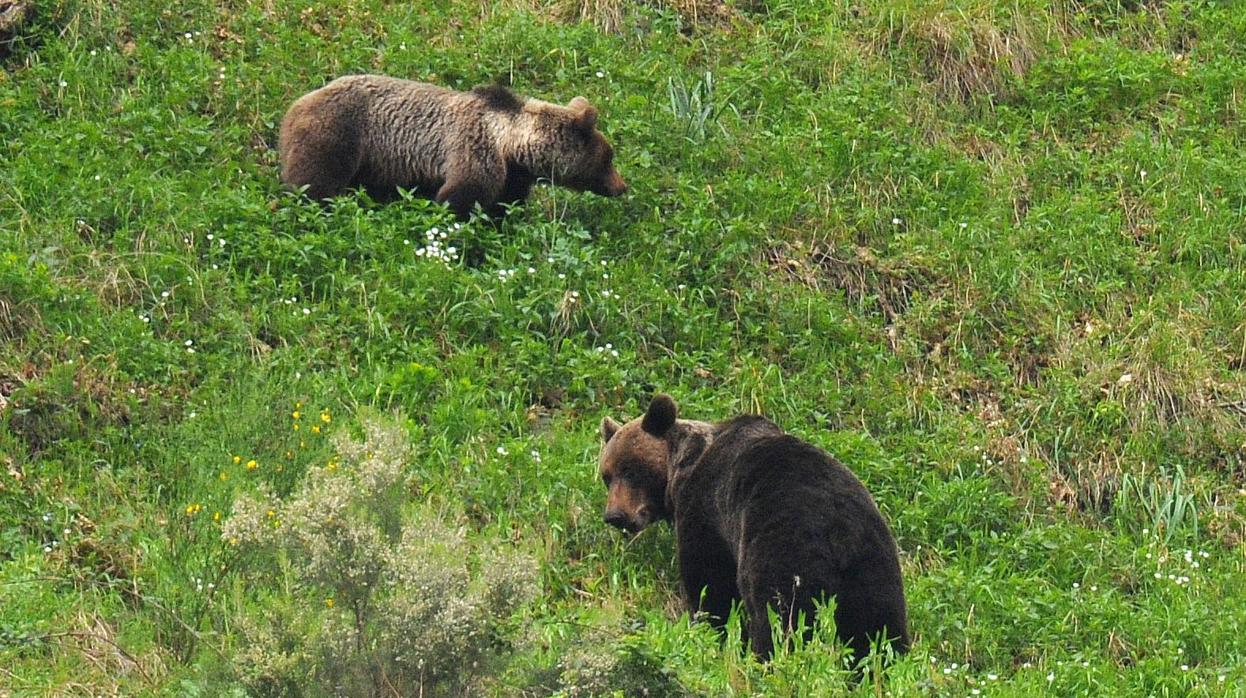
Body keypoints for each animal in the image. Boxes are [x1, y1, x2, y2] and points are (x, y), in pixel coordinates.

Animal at [275, 74, 623, 216]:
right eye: (608, 158)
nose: (622, 186)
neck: (511, 144)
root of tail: (293, 107)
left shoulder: (512, 175)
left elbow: (505, 205)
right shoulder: (474, 149)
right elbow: (460, 196)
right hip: (338, 134)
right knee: (315, 182)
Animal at [598, 396, 912, 663]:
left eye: (631, 470)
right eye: (606, 476)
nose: (615, 515)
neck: (681, 469)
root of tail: (840, 531)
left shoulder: (707, 509)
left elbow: (710, 581)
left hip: (784, 549)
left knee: (779, 616)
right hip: (874, 567)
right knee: (877, 630)